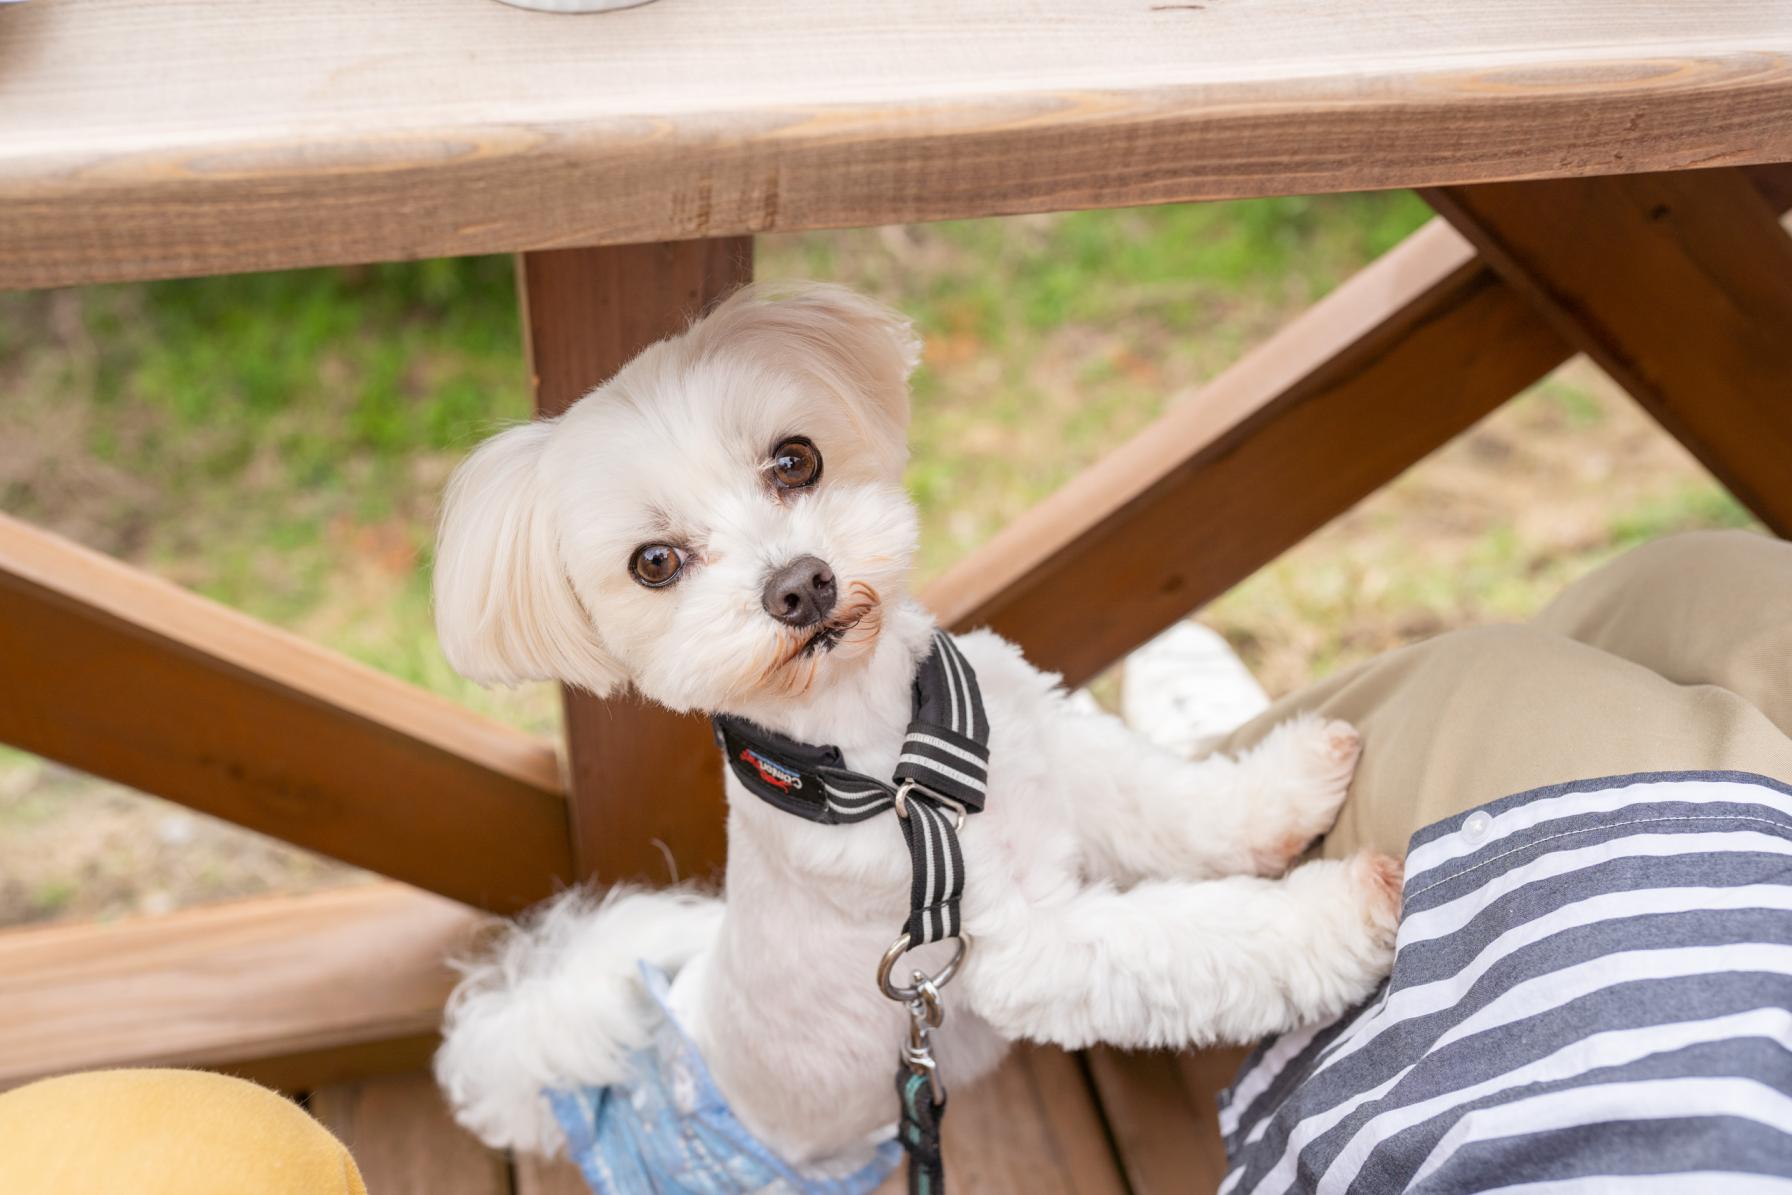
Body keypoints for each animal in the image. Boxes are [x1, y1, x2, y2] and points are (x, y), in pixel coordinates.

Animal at [422, 284, 1397, 1182]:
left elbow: (1171, 800)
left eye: (796, 458)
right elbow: (1205, 936)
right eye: (654, 562)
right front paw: (1350, 907)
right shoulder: (1031, 948)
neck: (901, 762)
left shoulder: (1051, 748)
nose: (799, 583)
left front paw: (1289, 787)